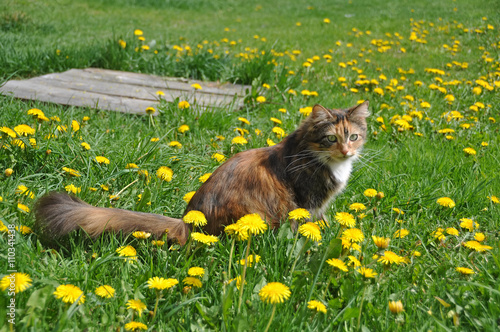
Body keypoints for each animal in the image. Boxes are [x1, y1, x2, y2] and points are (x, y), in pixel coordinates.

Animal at [35, 102, 370, 245]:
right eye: (331, 139)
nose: (347, 151)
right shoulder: (308, 203)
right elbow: (312, 225)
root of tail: (188, 221)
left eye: (353, 137)